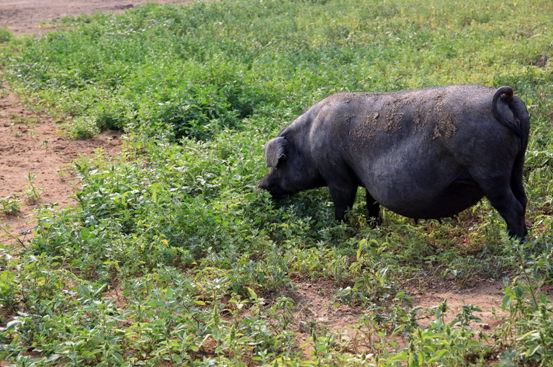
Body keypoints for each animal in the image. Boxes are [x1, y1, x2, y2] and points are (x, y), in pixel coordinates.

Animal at [258, 86, 532, 242]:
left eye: (279, 163)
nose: (261, 186)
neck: (308, 141)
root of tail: (506, 99)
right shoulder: (368, 181)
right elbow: (371, 204)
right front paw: (375, 229)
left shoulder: (336, 175)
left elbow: (343, 206)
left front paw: (338, 231)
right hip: (516, 165)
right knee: (523, 200)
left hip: (489, 172)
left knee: (512, 208)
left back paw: (513, 244)